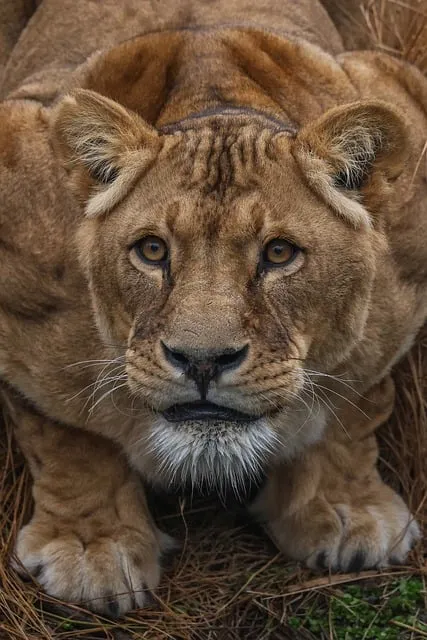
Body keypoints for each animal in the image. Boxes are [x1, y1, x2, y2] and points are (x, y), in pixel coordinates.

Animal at [0, 0, 426, 616]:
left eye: (279, 253)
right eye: (152, 250)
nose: (203, 361)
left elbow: (358, 405)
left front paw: (350, 510)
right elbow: (64, 429)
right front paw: (92, 546)